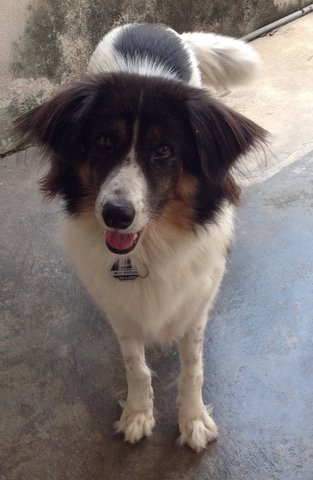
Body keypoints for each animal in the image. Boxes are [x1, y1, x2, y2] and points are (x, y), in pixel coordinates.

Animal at [13, 21, 264, 450]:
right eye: (103, 142)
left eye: (163, 150)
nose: (115, 215)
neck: (149, 248)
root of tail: (151, 25)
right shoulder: (120, 309)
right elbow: (137, 366)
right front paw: (137, 413)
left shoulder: (194, 306)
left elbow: (192, 368)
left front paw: (192, 420)